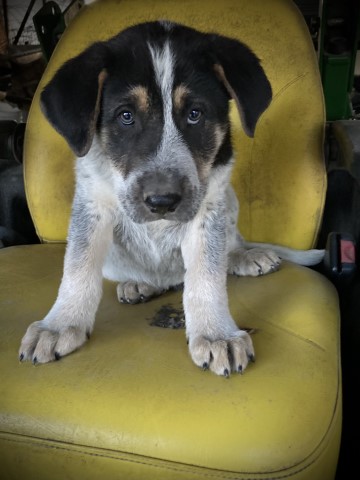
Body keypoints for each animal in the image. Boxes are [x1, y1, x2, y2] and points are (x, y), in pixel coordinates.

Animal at [18, 21, 324, 376]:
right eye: (126, 116)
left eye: (195, 113)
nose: (162, 202)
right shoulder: (92, 205)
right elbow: (77, 269)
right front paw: (59, 325)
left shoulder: (209, 207)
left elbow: (207, 274)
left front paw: (216, 333)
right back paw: (140, 283)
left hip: (229, 200)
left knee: (226, 248)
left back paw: (244, 256)